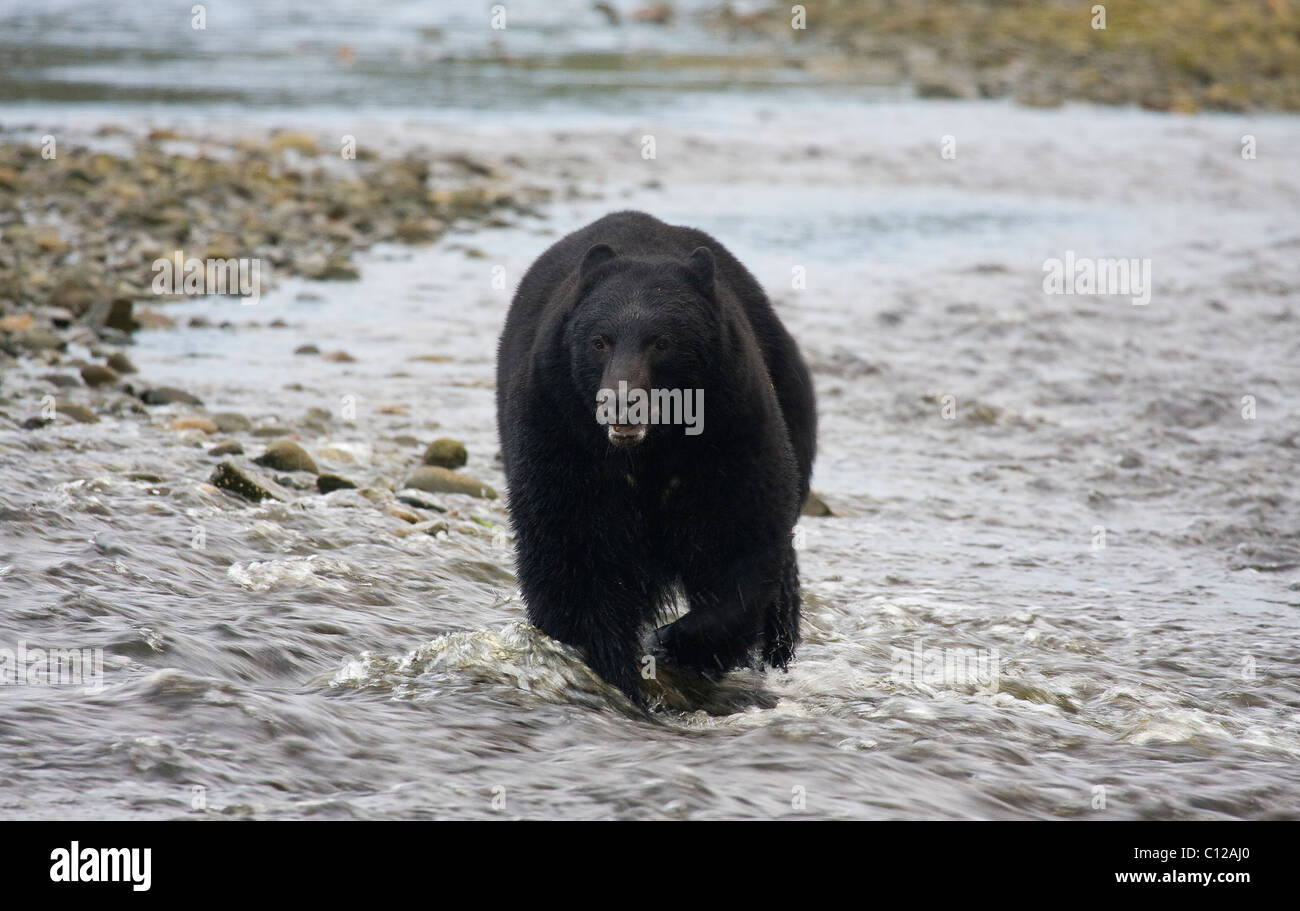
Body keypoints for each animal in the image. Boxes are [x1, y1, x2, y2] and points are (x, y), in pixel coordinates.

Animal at [495, 210, 816, 705]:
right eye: (600, 341)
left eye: (662, 342)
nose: (620, 402)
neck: (649, 452)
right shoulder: (559, 435)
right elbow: (570, 551)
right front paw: (615, 667)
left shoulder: (732, 425)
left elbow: (742, 533)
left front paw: (676, 641)